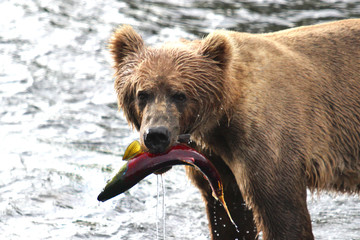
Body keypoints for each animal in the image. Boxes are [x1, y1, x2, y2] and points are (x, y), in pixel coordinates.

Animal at [108, 19, 360, 240]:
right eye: (142, 94)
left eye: (180, 95)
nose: (156, 135)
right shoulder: (214, 158)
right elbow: (230, 215)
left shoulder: (268, 140)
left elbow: (282, 213)